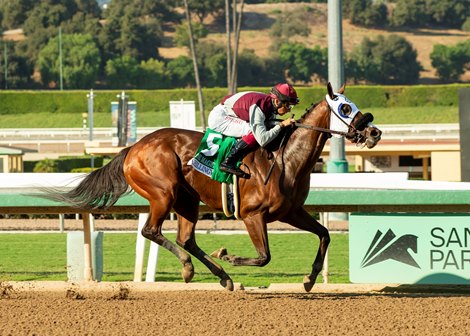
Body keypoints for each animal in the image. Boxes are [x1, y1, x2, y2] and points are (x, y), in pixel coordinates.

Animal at [53, 83, 382, 292]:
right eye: (344, 107)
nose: (374, 131)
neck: (285, 158)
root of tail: (133, 147)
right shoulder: (252, 215)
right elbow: (264, 257)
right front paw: (229, 256)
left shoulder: (291, 212)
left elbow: (325, 234)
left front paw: (310, 279)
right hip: (163, 193)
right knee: (152, 231)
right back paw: (191, 268)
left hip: (187, 201)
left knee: (185, 239)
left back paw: (222, 278)